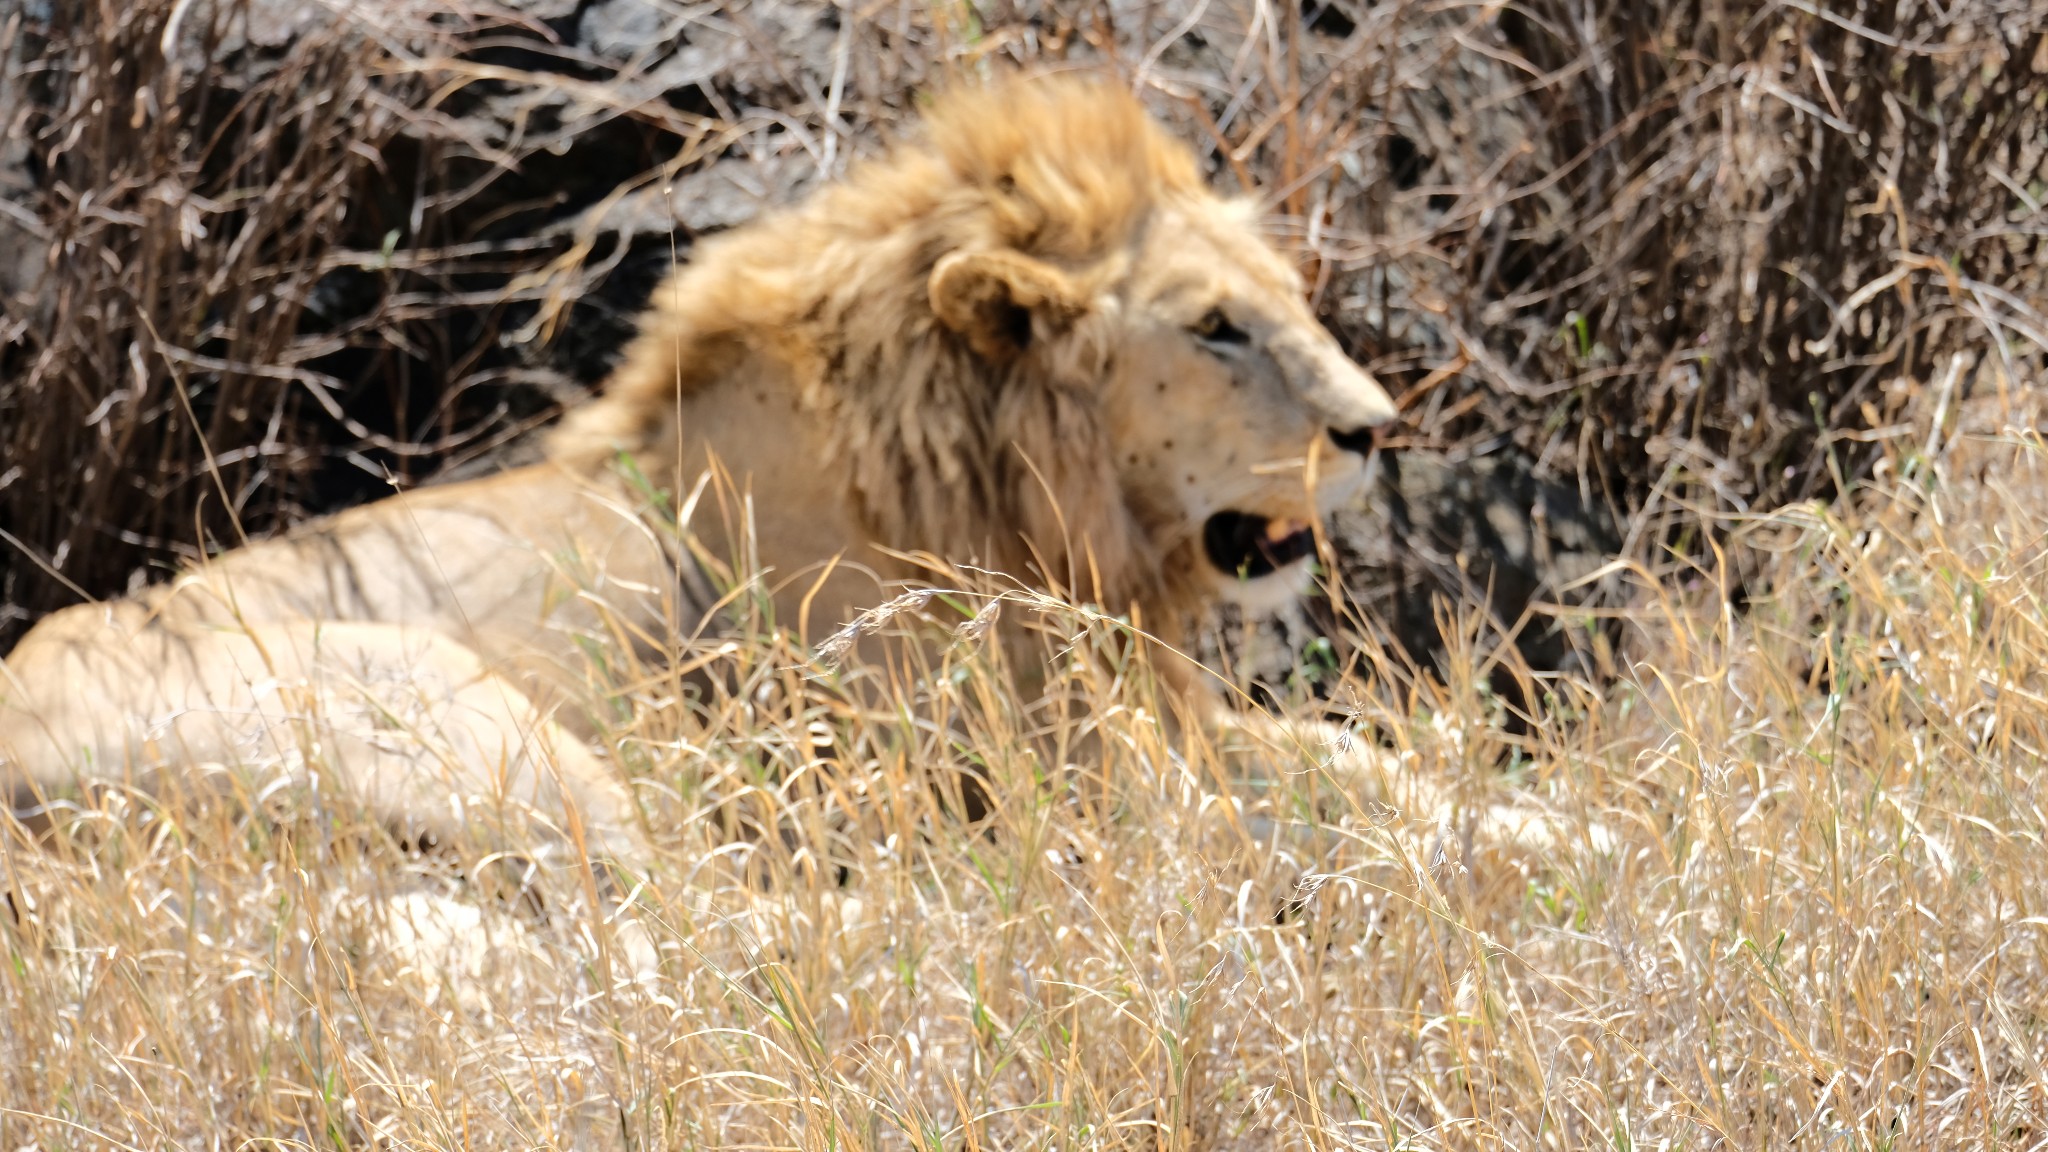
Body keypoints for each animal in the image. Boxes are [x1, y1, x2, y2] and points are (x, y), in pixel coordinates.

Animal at [0, 78, 1392, 869]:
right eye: (1214, 327)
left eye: (1282, 299)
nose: (1376, 431)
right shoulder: (1019, 762)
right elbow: (1276, 821)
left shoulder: (1146, 710)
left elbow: (1371, 763)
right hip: (474, 722)